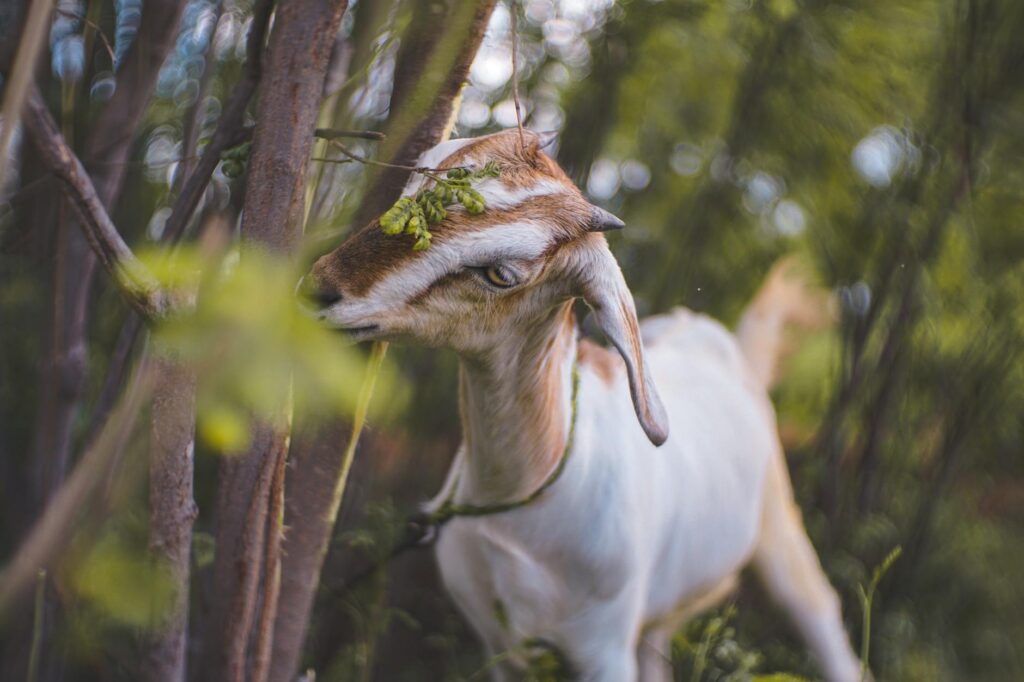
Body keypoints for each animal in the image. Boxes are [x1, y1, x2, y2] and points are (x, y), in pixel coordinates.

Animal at [302, 129, 863, 682]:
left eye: (501, 273)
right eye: (423, 172)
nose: (318, 289)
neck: (521, 499)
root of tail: (732, 350)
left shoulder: (603, 648)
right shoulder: (498, 644)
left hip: (782, 532)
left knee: (824, 618)